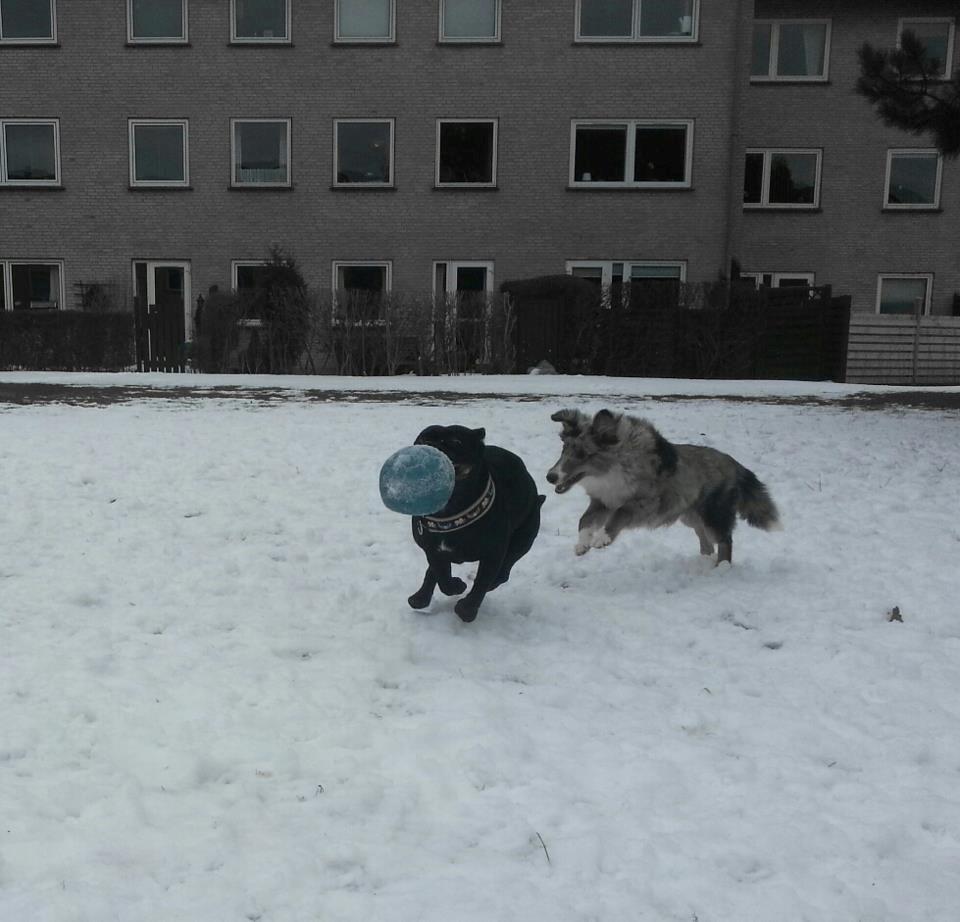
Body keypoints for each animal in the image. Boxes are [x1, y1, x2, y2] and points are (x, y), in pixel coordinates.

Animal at [404, 422, 544, 620]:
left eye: (456, 441)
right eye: (422, 438)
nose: (429, 445)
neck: (449, 511)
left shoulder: (494, 552)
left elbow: (482, 582)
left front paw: (467, 609)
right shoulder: (431, 548)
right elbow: (440, 574)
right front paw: (456, 586)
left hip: (523, 539)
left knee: (504, 571)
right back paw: (420, 597)